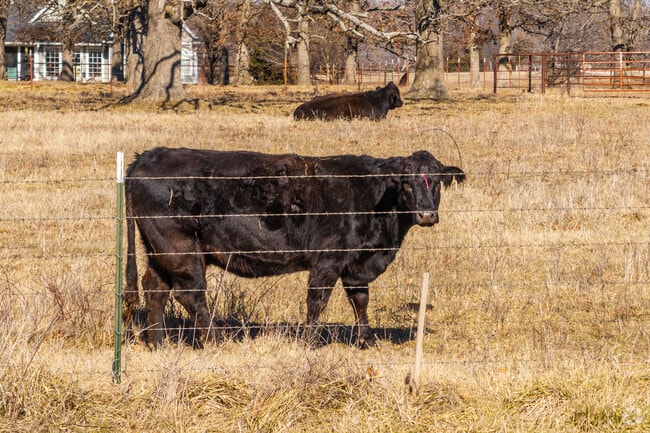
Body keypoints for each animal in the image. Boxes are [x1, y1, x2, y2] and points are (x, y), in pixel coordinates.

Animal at [123, 147, 465, 348]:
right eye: (406, 182)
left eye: (436, 182)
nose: (426, 215)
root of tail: (148, 156)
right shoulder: (327, 260)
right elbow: (317, 301)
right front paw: (309, 342)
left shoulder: (357, 262)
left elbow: (360, 300)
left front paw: (367, 340)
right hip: (180, 249)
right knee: (190, 295)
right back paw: (218, 340)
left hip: (158, 250)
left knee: (155, 289)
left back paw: (158, 343)